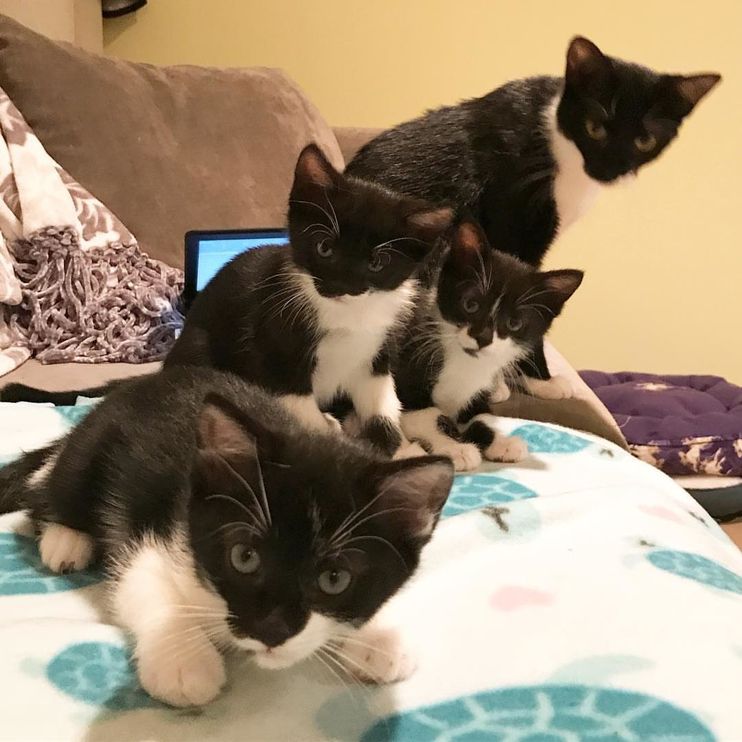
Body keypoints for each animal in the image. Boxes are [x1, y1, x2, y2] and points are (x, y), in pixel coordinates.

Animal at [0, 366, 454, 708]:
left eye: (335, 579)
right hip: (92, 449)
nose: (272, 630)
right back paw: (66, 538)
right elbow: (141, 578)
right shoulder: (153, 522)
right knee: (50, 489)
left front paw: (380, 639)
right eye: (244, 557)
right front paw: (182, 660)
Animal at [165, 143, 450, 456]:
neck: (347, 315)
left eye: (377, 263)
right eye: (324, 248)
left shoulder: (377, 349)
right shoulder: (273, 346)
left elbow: (382, 404)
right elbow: (299, 409)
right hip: (199, 349)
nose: (339, 286)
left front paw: (402, 450)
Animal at [348, 36, 720, 396]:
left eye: (645, 140)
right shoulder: (513, 218)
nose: (607, 171)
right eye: (594, 128)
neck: (560, 142)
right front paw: (535, 379)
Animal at [398, 221, 584, 474]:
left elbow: (480, 417)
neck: (464, 362)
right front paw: (455, 448)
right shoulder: (409, 369)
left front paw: (501, 442)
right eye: (470, 305)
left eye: (514, 323)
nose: (482, 337)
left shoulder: (473, 395)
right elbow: (427, 415)